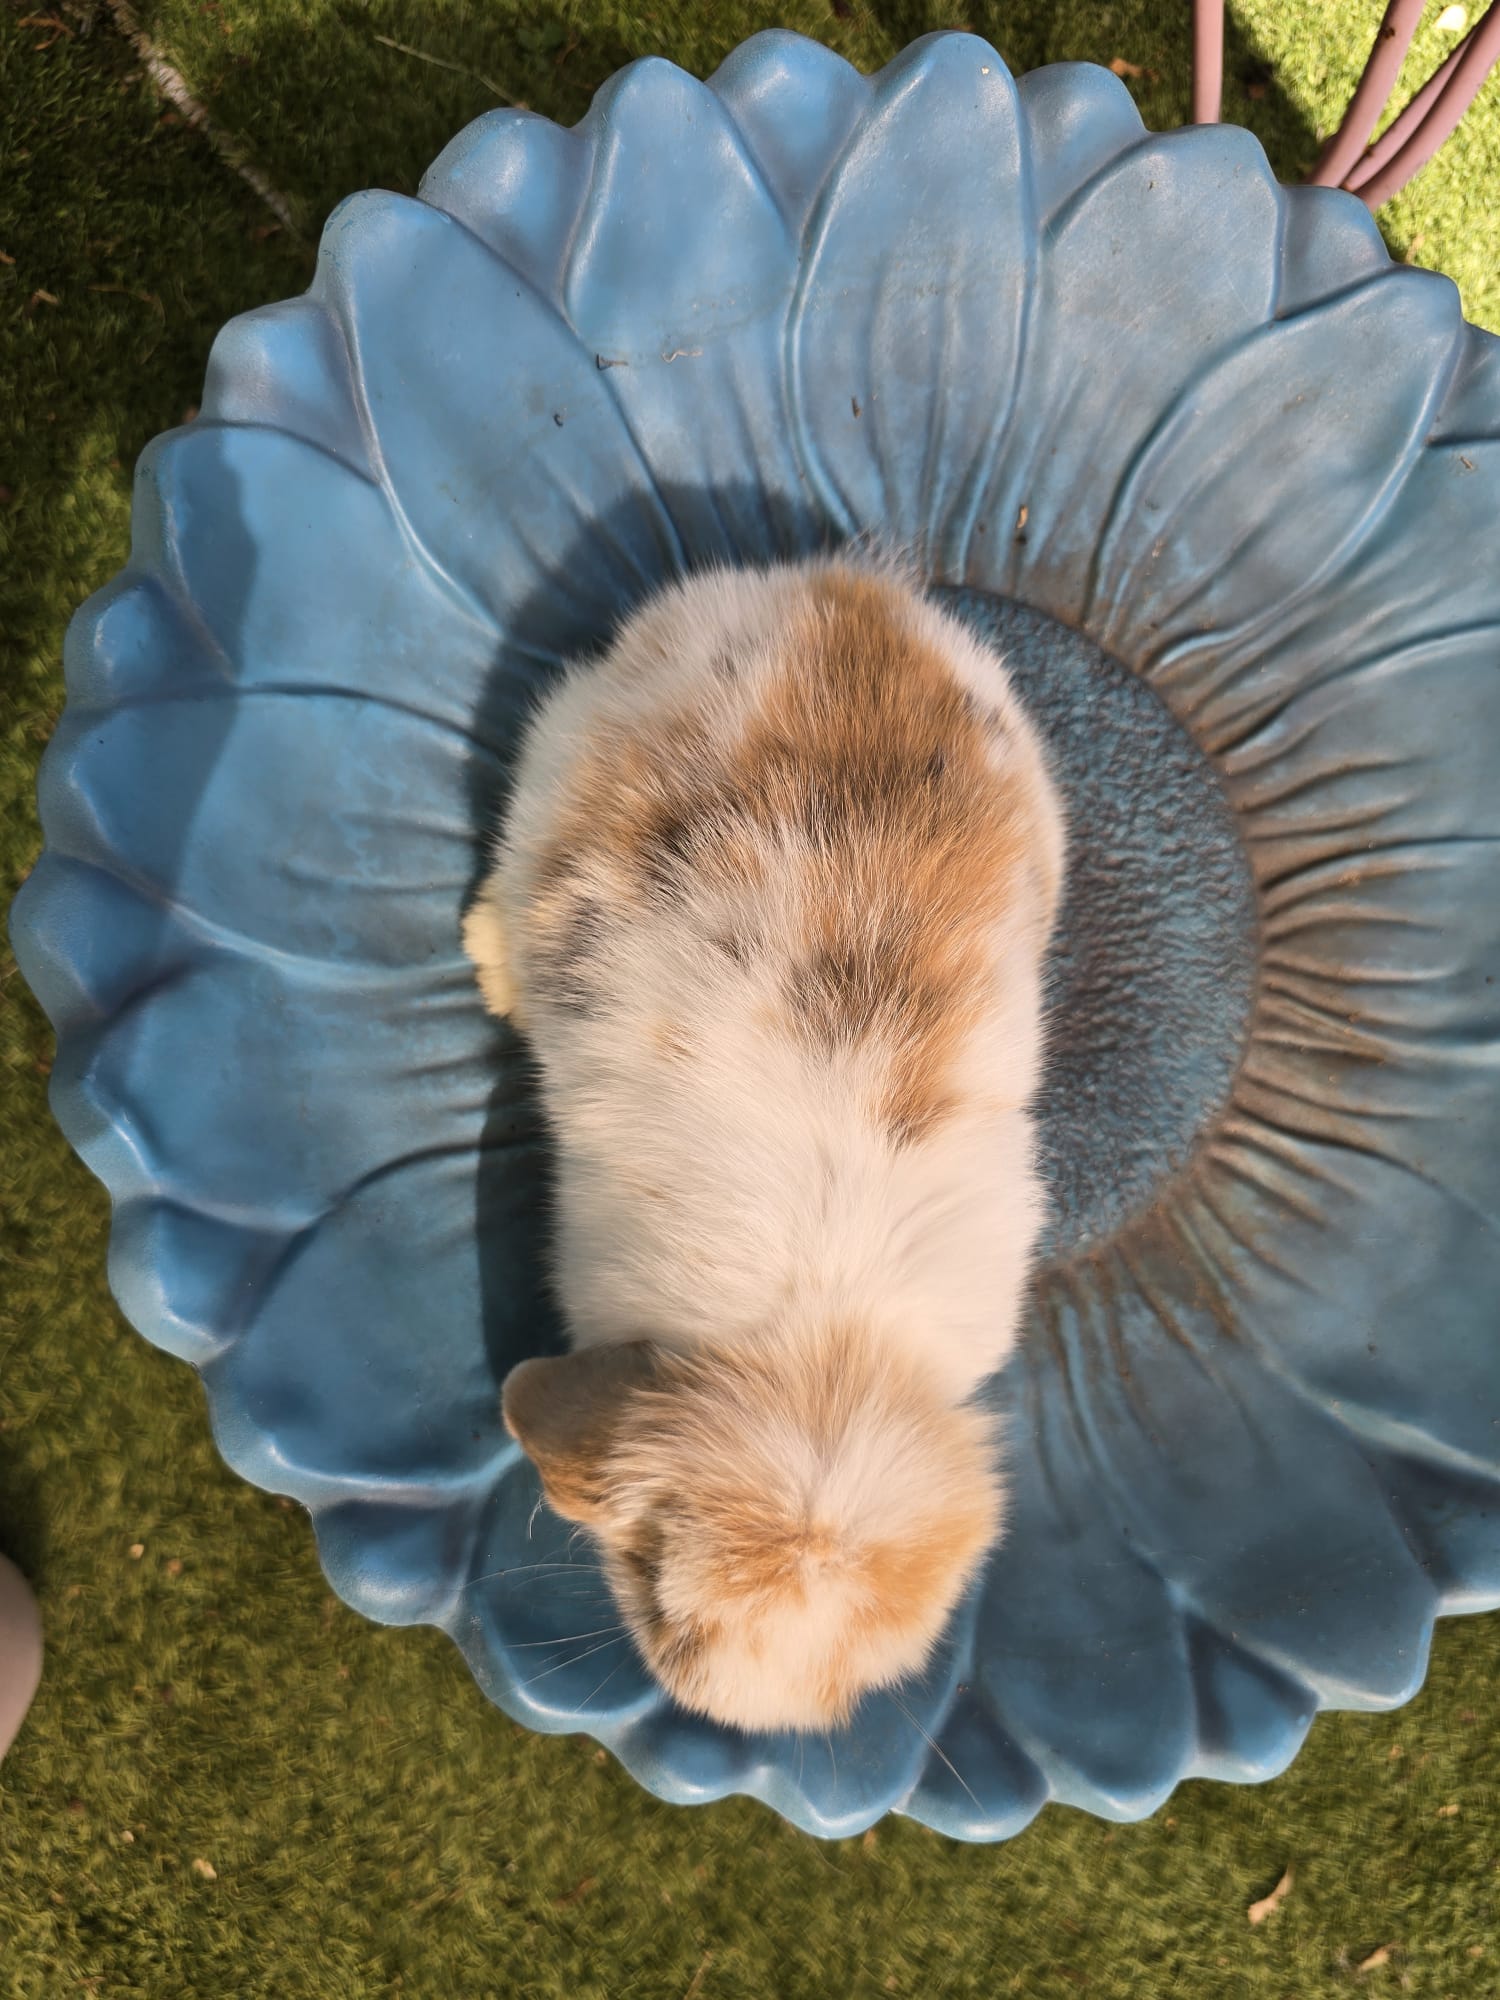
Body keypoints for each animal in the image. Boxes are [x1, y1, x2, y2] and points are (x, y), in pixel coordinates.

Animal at [463, 554, 1067, 1734]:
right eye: (657, 1584)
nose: (731, 1715)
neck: (822, 1345)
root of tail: (844, 588)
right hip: (555, 767)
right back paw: (488, 961)